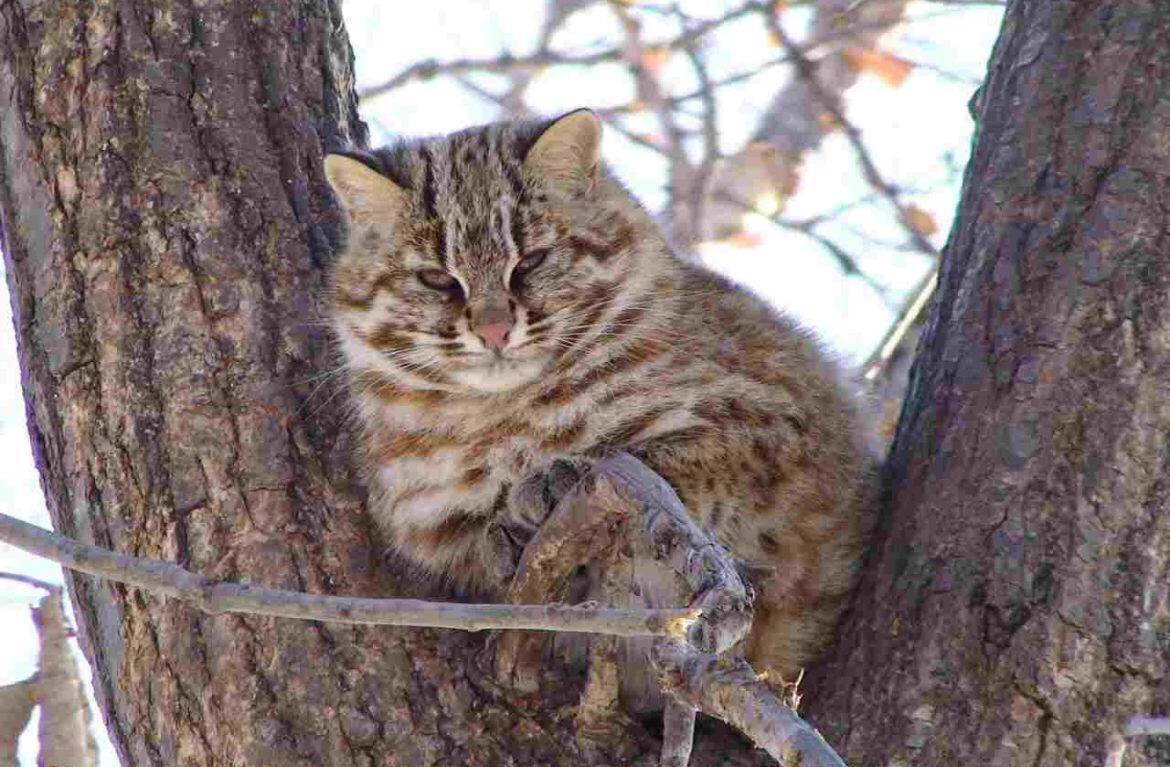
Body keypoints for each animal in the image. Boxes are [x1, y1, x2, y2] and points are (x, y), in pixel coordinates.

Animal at [320, 109, 870, 682]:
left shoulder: (776, 428)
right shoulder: (427, 523)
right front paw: (503, 531)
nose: (494, 331)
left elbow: (658, 455)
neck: (501, 413)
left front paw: (556, 477)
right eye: (435, 278)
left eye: (532, 261)